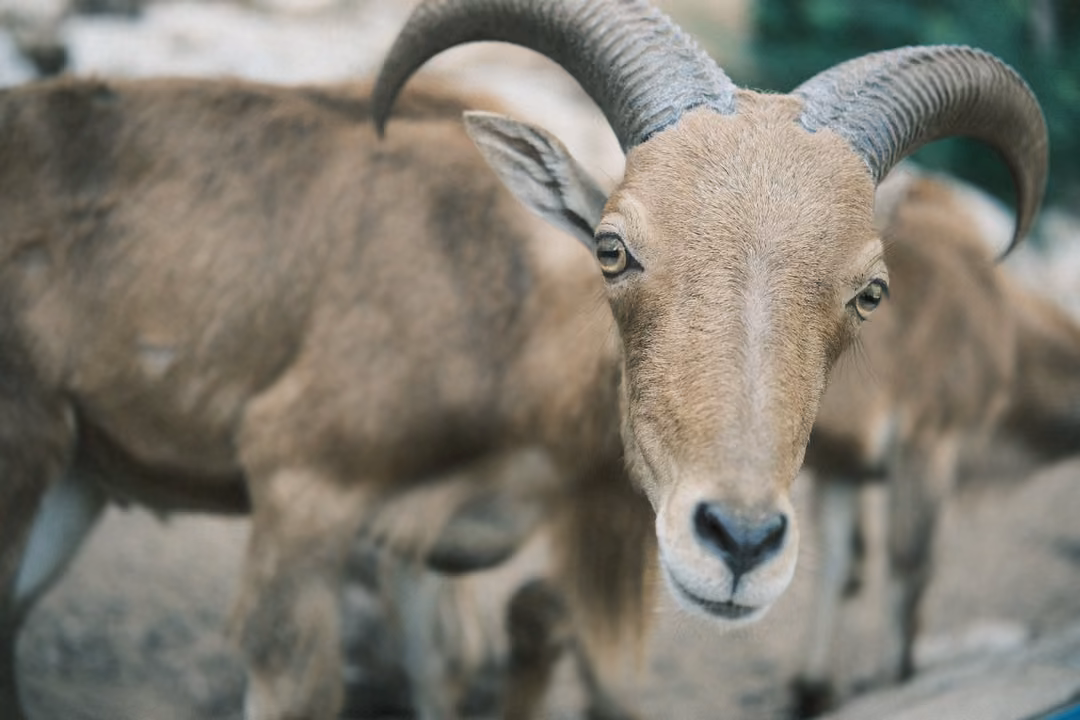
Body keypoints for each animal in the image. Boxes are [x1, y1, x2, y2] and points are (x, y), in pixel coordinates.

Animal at [0, 0, 1047, 718]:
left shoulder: (418, 549)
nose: (741, 543)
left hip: (76, 483)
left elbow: (448, 673)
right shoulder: (302, 494)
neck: (509, 328)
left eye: (870, 290)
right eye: (614, 247)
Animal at [791, 171, 1080, 716]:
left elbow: (840, 566)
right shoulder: (927, 445)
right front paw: (896, 677)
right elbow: (909, 564)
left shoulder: (844, 468)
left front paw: (813, 690)